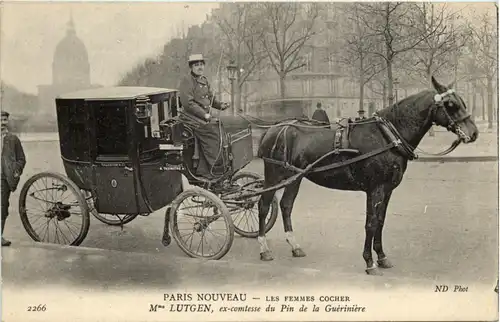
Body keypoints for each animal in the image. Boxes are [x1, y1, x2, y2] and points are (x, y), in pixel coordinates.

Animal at [256, 76, 478, 276]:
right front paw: (369, 262)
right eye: (450, 104)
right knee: (264, 205)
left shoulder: (387, 190)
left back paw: (295, 246)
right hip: (274, 174)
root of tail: (273, 129)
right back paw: (264, 248)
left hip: (295, 178)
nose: (474, 133)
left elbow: (380, 221)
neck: (387, 136)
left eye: (462, 101)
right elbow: (371, 223)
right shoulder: (375, 189)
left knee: (286, 205)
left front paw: (381, 257)